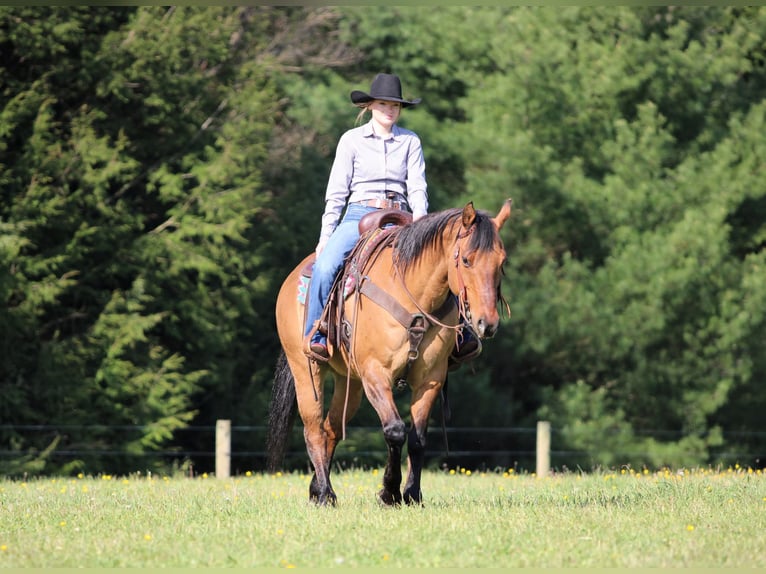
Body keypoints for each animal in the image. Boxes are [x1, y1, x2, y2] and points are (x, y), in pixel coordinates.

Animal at [267, 199, 512, 505]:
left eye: (502, 263)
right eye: (466, 259)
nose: (487, 324)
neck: (413, 297)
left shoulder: (430, 379)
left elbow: (418, 439)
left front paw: (411, 494)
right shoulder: (376, 374)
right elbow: (395, 430)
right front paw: (390, 491)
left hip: (350, 383)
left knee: (331, 429)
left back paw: (316, 489)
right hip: (305, 370)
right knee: (313, 430)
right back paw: (324, 494)